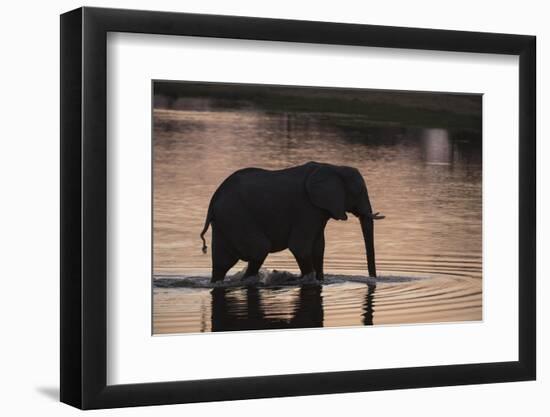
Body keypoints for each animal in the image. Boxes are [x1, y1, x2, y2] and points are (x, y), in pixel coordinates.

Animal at [201, 160, 386, 282]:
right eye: (360, 191)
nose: (373, 279)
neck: (332, 167)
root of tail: (213, 201)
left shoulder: (318, 211)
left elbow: (318, 248)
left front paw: (321, 280)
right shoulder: (306, 208)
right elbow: (300, 247)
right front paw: (309, 280)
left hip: (226, 221)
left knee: (221, 263)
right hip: (237, 216)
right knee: (259, 249)